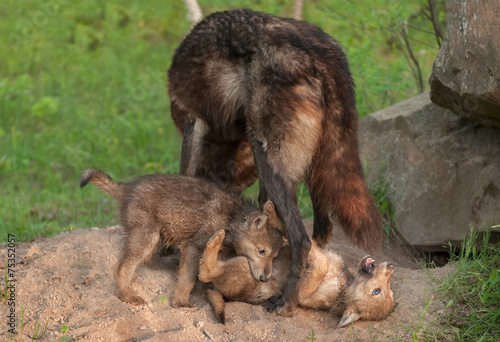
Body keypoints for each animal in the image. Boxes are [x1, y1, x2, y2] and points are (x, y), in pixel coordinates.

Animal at [168, 8, 382, 316]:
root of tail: (320, 54)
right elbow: (261, 208)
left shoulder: (192, 124)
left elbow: (184, 174)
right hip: (309, 164)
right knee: (322, 229)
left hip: (268, 157)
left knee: (302, 239)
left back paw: (286, 302)